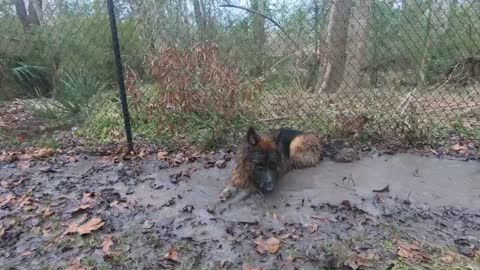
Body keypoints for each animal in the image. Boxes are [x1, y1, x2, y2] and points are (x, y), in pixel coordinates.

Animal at [219, 127, 358, 202]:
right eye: (259, 166)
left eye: (273, 165)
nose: (270, 188)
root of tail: (321, 141)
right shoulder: (239, 174)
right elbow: (232, 183)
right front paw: (226, 191)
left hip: (295, 147)